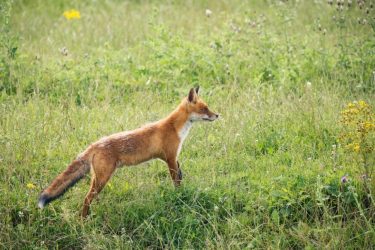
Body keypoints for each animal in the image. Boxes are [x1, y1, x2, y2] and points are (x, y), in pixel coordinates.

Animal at [38, 87, 219, 217]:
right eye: (204, 109)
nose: (217, 115)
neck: (176, 128)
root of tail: (95, 144)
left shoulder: (175, 158)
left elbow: (180, 176)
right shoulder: (170, 157)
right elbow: (176, 181)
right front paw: (179, 196)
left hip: (97, 178)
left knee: (91, 197)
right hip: (103, 178)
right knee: (86, 199)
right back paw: (83, 221)